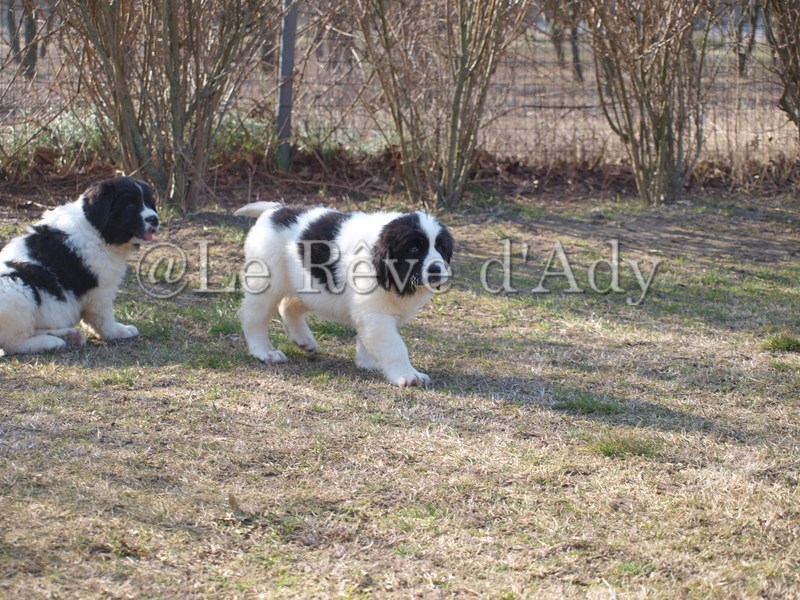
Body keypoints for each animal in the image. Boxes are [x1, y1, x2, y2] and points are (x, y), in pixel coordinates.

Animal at [0, 176, 159, 355]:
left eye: (149, 203)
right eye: (130, 206)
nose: (154, 219)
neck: (95, 230)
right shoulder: (100, 291)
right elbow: (104, 316)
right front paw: (117, 331)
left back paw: (68, 336)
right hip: (17, 288)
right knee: (13, 343)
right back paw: (50, 342)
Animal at [235, 202, 454, 387]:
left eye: (441, 248)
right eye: (415, 248)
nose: (436, 270)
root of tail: (275, 209)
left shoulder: (369, 312)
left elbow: (368, 337)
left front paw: (368, 362)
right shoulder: (376, 314)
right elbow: (394, 346)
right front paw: (408, 375)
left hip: (312, 287)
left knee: (288, 305)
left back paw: (303, 340)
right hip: (266, 283)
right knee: (254, 317)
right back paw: (264, 351)